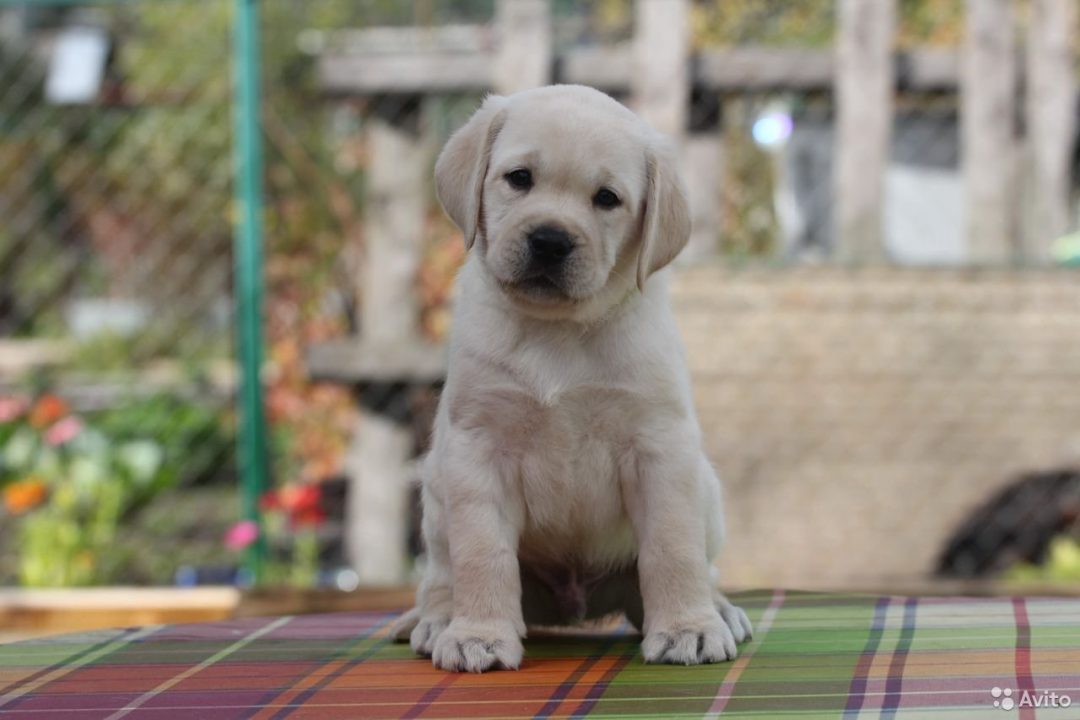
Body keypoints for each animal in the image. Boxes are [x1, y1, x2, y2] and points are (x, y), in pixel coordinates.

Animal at [393, 85, 756, 677]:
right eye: (519, 178)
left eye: (606, 198)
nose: (549, 240)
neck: (557, 331)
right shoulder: (477, 449)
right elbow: (482, 554)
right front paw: (479, 636)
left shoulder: (660, 447)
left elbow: (672, 548)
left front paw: (688, 629)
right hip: (435, 492)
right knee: (442, 575)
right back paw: (436, 619)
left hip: (707, 490)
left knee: (699, 567)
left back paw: (717, 610)